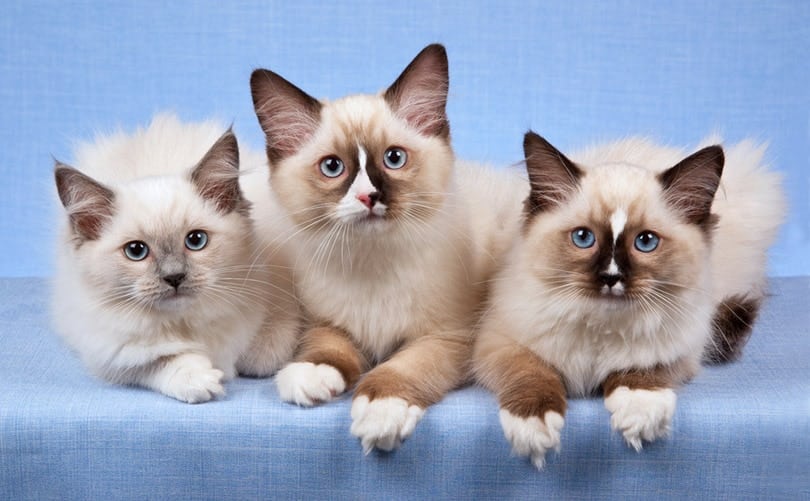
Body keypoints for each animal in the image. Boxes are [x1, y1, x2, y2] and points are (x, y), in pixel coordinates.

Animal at [52, 114, 300, 402]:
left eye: (196, 240)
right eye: (136, 251)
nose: (174, 277)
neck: (187, 321)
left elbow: (264, 356)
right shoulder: (112, 354)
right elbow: (160, 362)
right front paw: (202, 379)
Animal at [249, 45, 502, 452]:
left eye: (394, 159)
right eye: (333, 167)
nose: (369, 196)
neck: (373, 262)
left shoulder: (448, 337)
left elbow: (402, 368)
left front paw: (381, 411)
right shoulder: (325, 322)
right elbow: (330, 349)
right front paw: (311, 375)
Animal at [474, 131, 784, 466]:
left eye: (645, 242)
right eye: (583, 238)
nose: (612, 277)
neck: (600, 326)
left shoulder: (681, 347)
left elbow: (641, 368)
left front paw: (639, 412)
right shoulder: (500, 342)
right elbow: (531, 373)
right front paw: (534, 427)